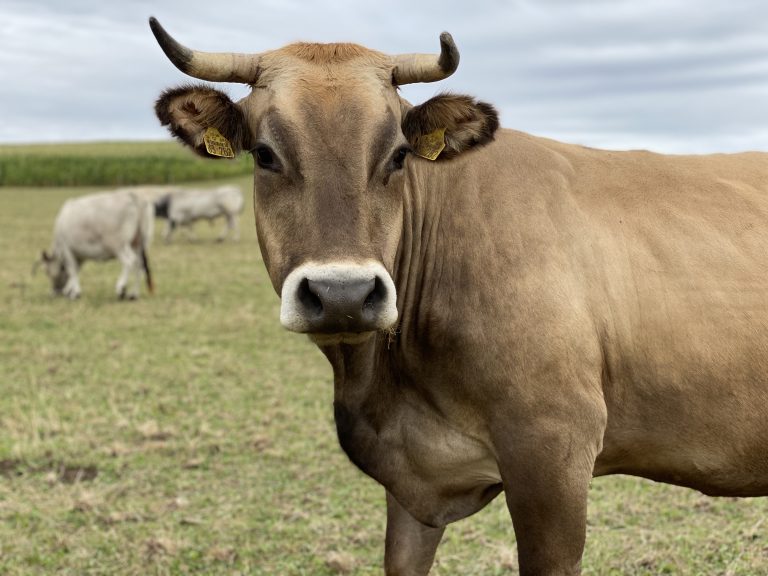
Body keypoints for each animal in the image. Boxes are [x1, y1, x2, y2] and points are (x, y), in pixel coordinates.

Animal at [150, 15, 768, 572]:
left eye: (399, 154)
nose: (342, 294)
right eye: (264, 153)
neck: (381, 384)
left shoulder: (554, 453)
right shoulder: (409, 482)